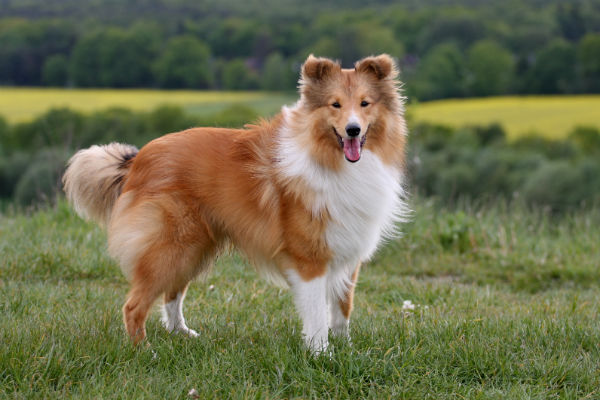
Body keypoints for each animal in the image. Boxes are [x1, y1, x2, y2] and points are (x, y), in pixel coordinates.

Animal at [63, 54, 408, 354]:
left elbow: (342, 310)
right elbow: (317, 316)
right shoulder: (309, 259)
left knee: (172, 294)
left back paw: (182, 334)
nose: (353, 130)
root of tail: (138, 159)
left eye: (365, 103)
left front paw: (346, 349)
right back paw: (146, 352)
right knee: (134, 305)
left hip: (193, 248)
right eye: (334, 104)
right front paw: (322, 355)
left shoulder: (347, 252)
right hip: (171, 246)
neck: (331, 159)